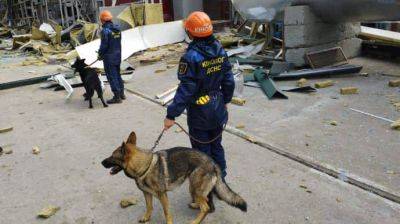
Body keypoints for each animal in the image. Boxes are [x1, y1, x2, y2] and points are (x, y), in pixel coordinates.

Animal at [102, 132, 247, 223]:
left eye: (112, 157)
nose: (101, 162)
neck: (144, 166)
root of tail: (213, 163)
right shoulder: (147, 193)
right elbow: (149, 207)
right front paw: (146, 218)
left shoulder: (162, 195)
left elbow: (166, 212)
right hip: (196, 189)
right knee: (206, 201)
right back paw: (196, 205)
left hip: (193, 187)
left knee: (205, 207)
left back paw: (195, 221)